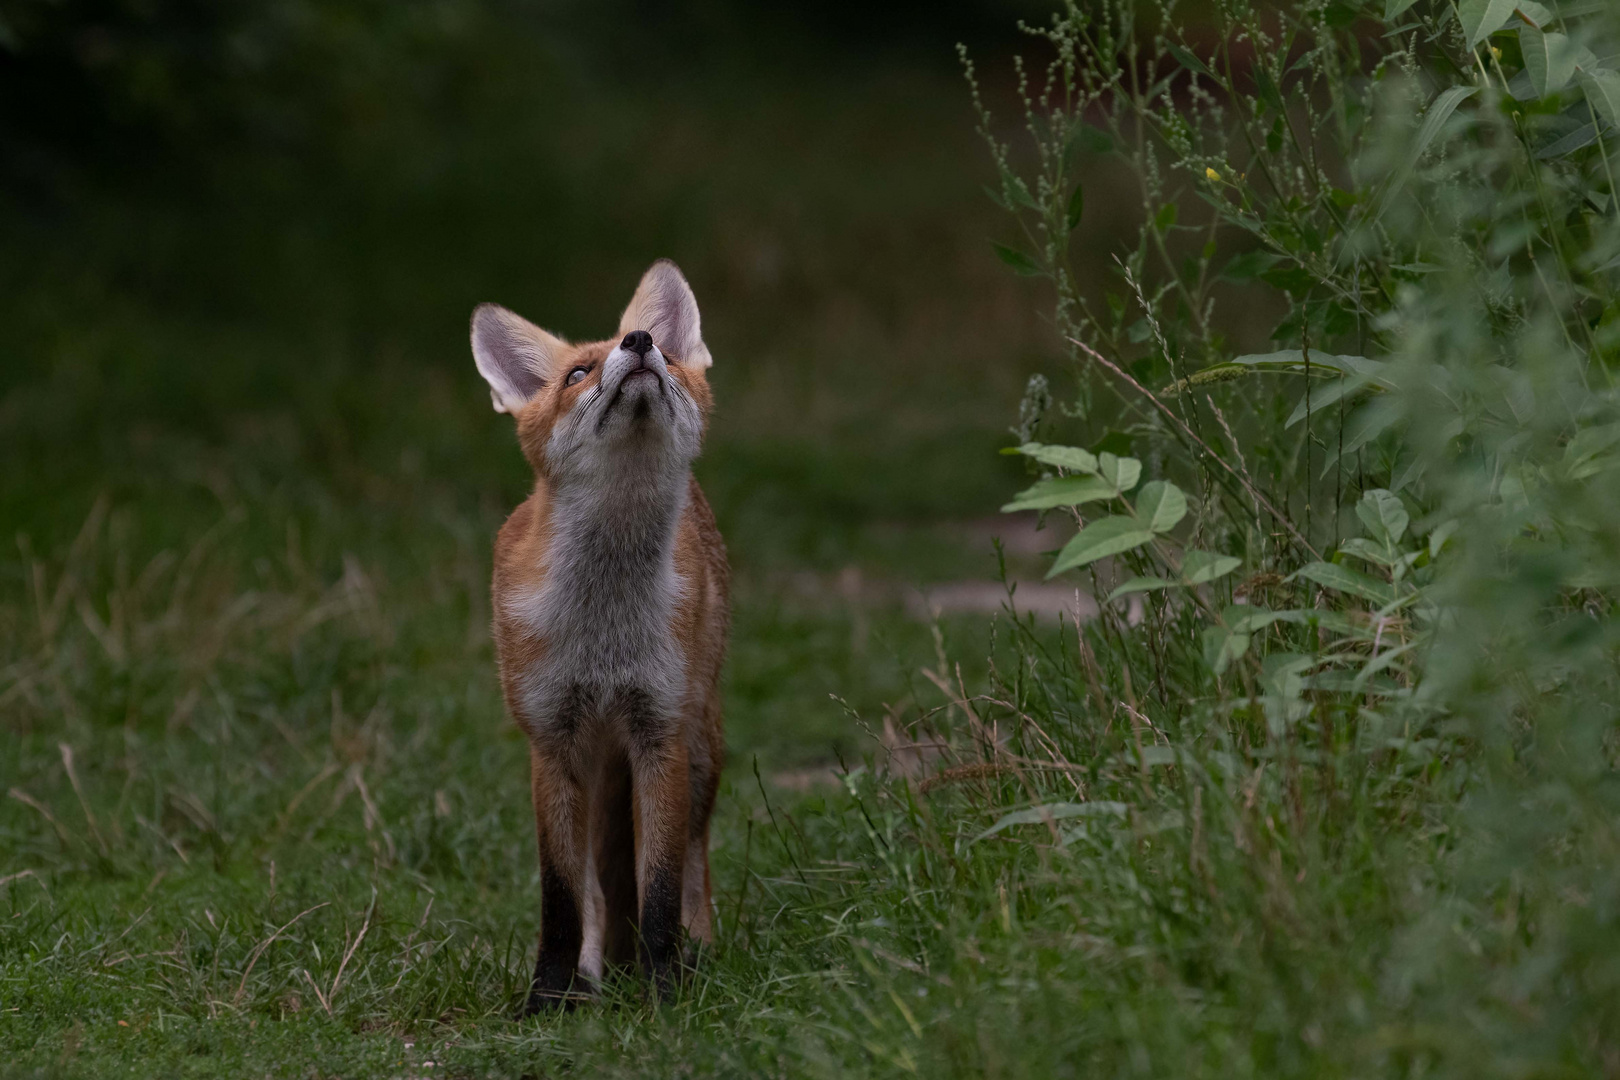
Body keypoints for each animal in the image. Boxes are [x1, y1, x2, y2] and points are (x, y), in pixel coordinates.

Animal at [473, 262, 732, 1016]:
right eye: (578, 372)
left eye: (665, 353)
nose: (641, 342)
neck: (604, 633)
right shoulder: (552, 741)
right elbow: (562, 899)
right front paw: (547, 999)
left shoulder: (657, 732)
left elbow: (661, 890)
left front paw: (665, 991)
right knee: (593, 885)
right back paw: (593, 973)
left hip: (701, 745)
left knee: (694, 862)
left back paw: (697, 953)